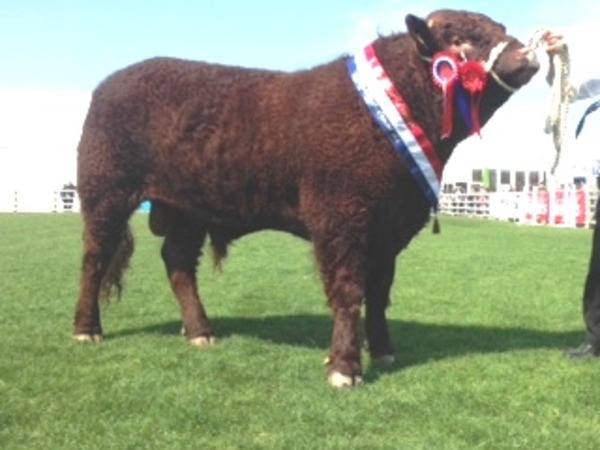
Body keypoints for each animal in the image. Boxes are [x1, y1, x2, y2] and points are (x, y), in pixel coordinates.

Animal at [74, 8, 540, 386]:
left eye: (500, 27)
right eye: (460, 40)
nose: (529, 55)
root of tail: (110, 83)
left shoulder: (389, 228)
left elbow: (379, 292)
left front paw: (383, 351)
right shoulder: (341, 218)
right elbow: (348, 290)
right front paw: (345, 368)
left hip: (187, 207)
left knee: (178, 263)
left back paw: (200, 331)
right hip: (105, 193)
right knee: (96, 258)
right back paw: (87, 329)